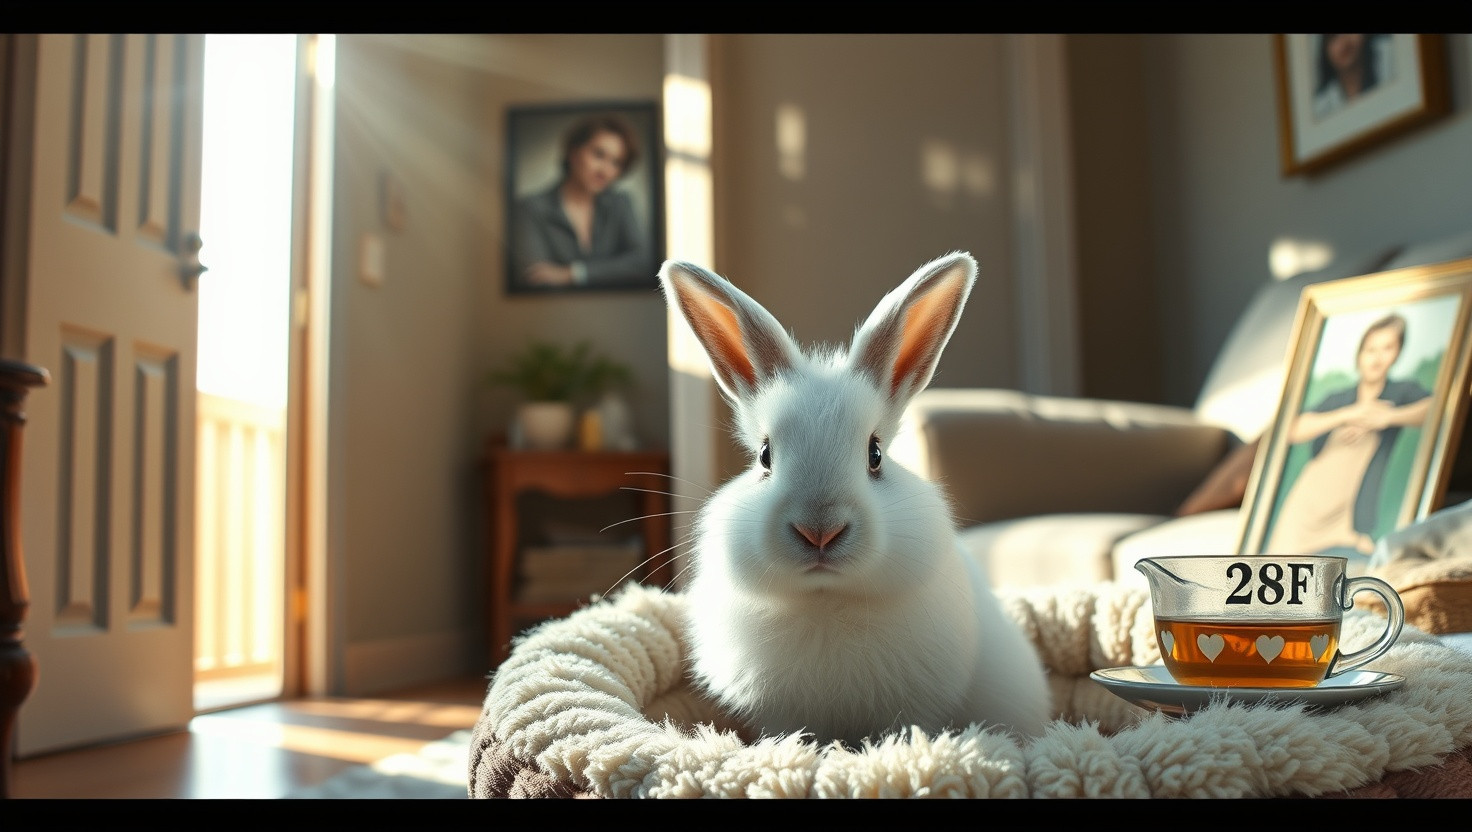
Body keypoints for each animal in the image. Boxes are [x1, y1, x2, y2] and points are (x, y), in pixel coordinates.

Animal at [658, 251, 1052, 749]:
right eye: (765, 456)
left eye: (875, 454)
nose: (819, 531)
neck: (828, 598)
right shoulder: (783, 715)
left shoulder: (915, 708)